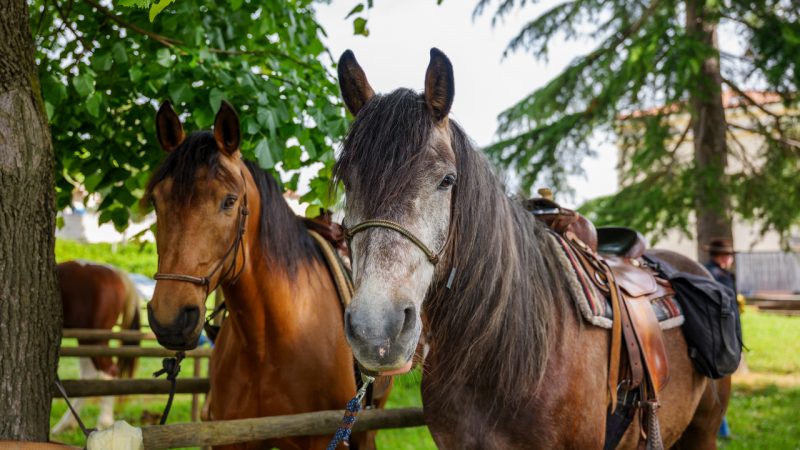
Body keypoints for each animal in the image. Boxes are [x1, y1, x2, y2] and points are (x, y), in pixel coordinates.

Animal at [52, 260, 142, 434]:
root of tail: (116, 272)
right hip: (85, 339)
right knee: (89, 377)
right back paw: (64, 425)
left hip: (96, 339)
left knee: (108, 372)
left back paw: (104, 423)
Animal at [143, 101, 389, 449]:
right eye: (156, 201)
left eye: (229, 201)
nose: (171, 319)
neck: (266, 345)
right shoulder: (232, 437)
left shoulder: (323, 438)